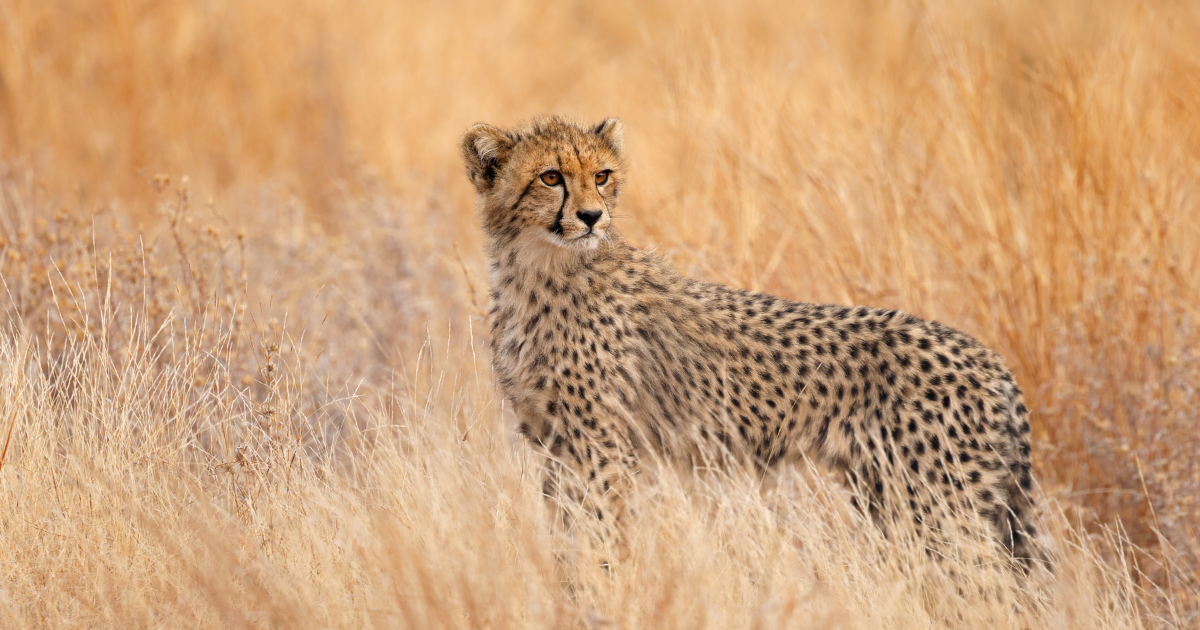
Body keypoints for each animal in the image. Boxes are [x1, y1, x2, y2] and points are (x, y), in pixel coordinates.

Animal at [462, 114, 1048, 571]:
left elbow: (599, 536)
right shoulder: (553, 441)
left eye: (602, 176)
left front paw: (601, 593)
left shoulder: (599, 445)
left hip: (942, 508)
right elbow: (566, 533)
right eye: (550, 177)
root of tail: (992, 359)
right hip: (893, 498)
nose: (590, 216)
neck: (538, 270)